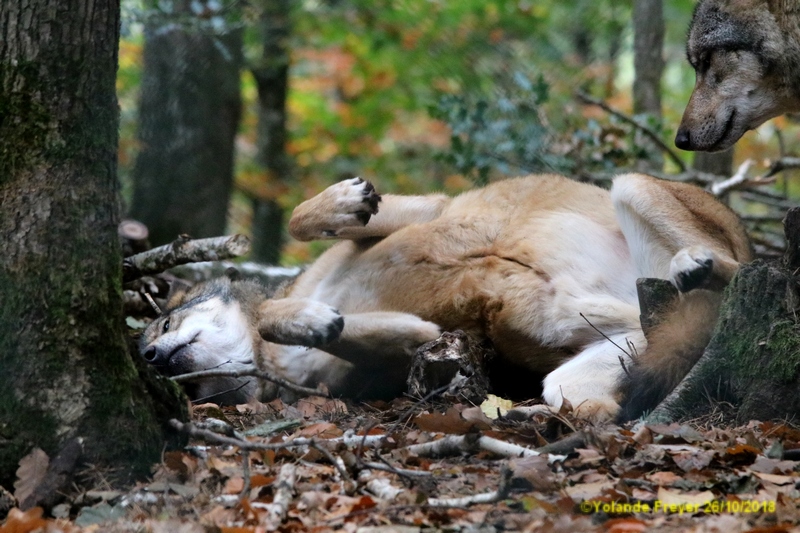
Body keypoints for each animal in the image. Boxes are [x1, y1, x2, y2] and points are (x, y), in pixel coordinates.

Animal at [139, 175, 752, 420]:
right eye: (192, 395)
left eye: (163, 326)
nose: (148, 357)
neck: (275, 364)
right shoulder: (410, 345)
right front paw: (309, 320)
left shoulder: (431, 207)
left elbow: (297, 221)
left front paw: (344, 203)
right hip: (586, 366)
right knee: (601, 399)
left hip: (632, 185)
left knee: (738, 268)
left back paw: (694, 265)